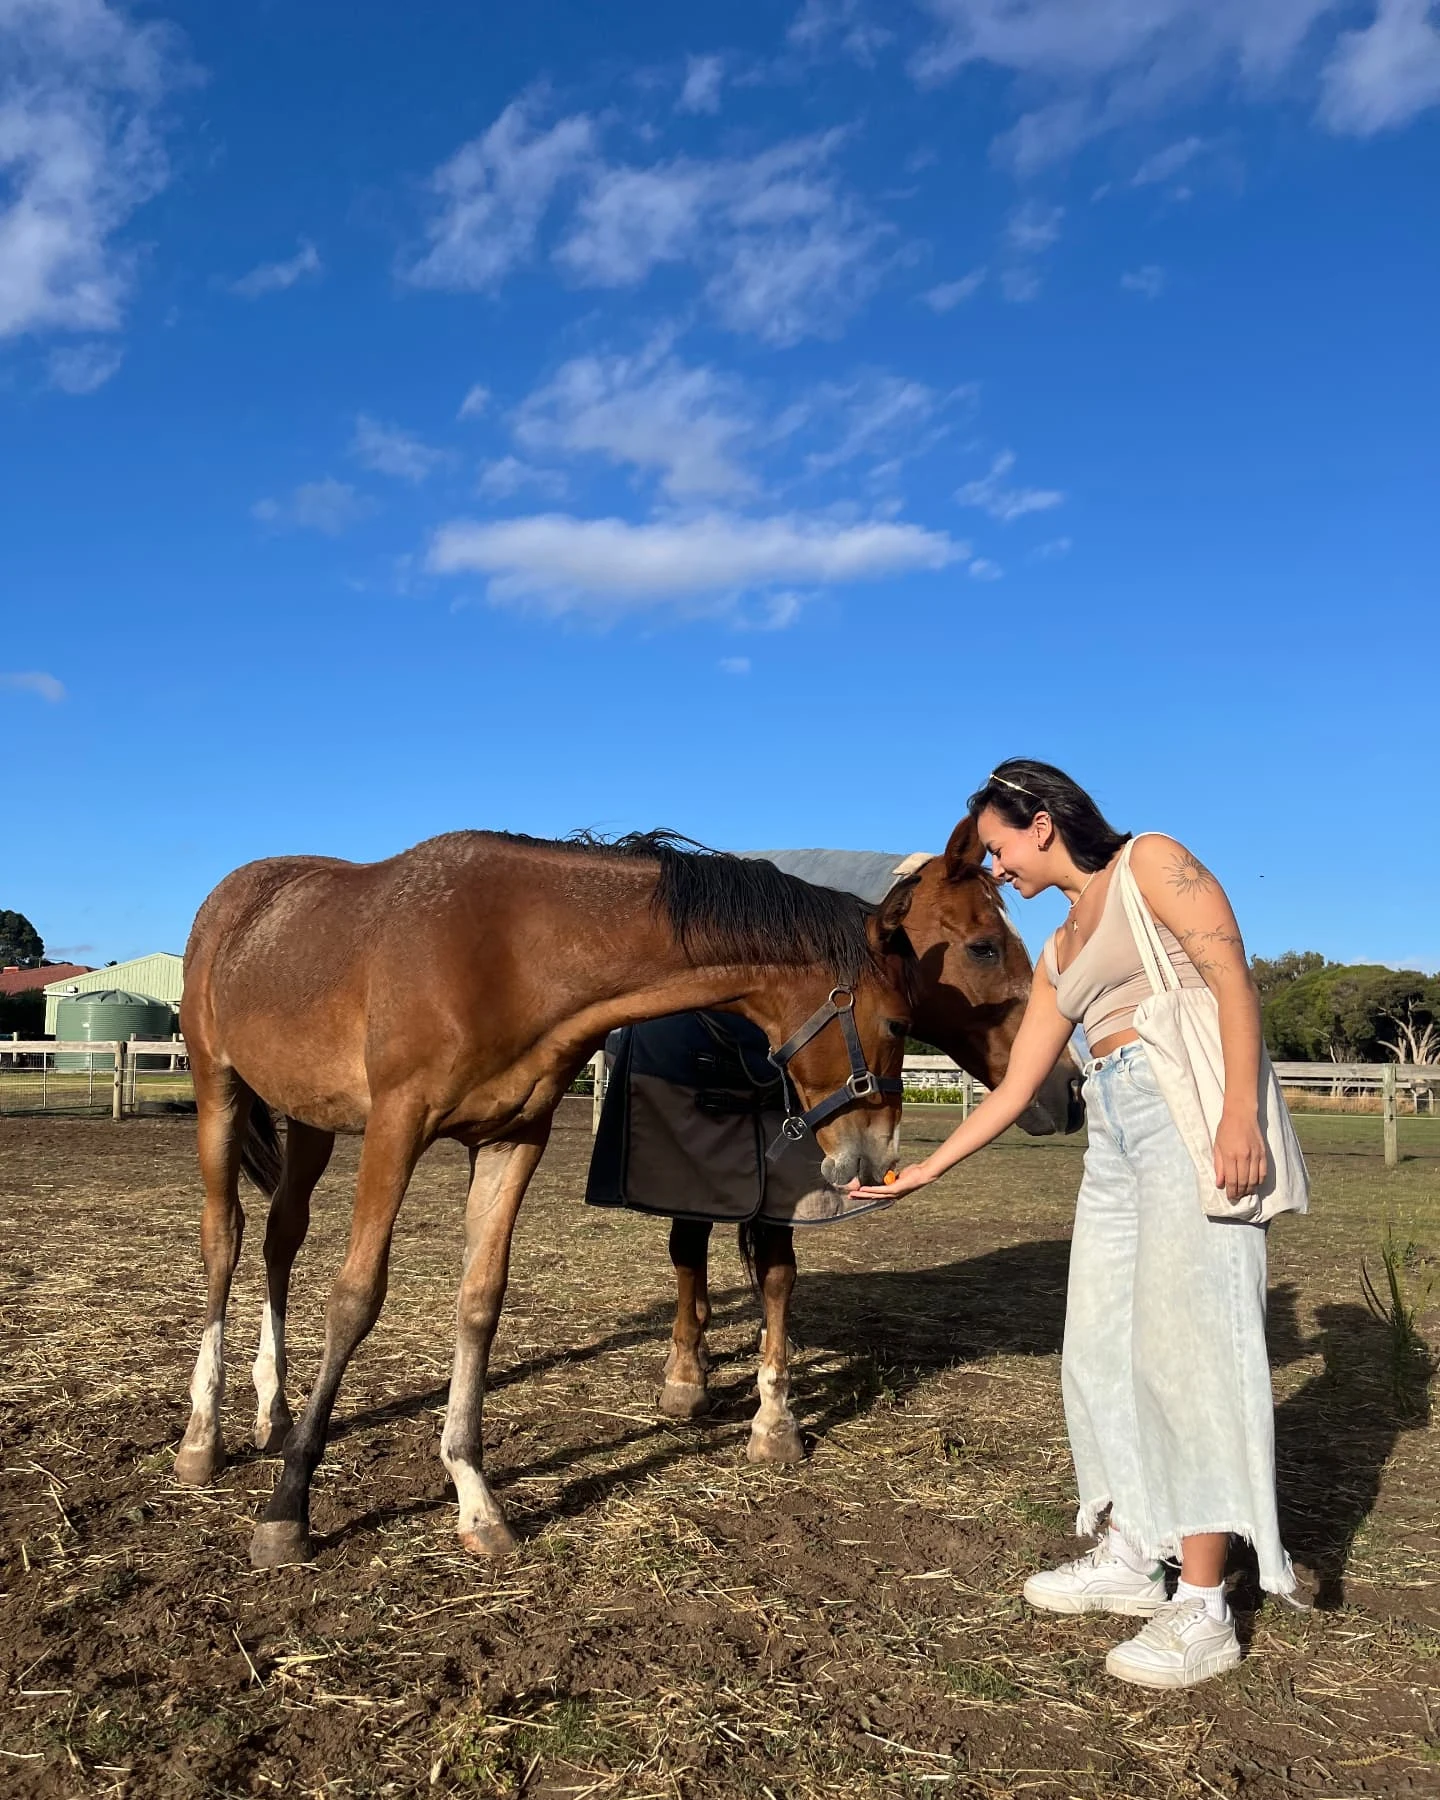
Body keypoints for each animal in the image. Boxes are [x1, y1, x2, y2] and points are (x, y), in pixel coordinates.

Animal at [174, 828, 921, 1568]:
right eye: (898, 1022)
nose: (877, 1159)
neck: (511, 950)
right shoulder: (396, 1124)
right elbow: (355, 1297)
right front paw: (287, 1506)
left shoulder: (512, 1140)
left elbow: (480, 1303)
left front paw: (475, 1497)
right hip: (219, 1088)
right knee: (224, 1238)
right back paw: (202, 1437)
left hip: (310, 1119)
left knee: (281, 1236)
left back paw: (272, 1411)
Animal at [624, 816, 1082, 1459]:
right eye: (984, 946)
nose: (1071, 1088)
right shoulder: (685, 1160)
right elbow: (688, 1256)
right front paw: (686, 1379)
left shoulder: (787, 1174)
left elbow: (777, 1274)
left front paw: (774, 1418)